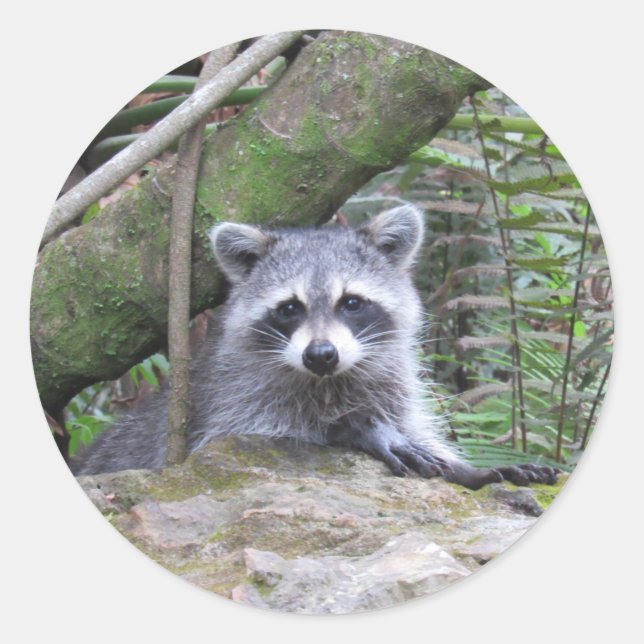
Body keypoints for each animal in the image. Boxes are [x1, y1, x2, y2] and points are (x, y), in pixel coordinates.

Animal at [71, 205, 557, 489]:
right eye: (290, 308)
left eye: (352, 303)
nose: (320, 354)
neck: (329, 380)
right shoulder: (228, 398)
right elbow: (248, 435)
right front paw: (356, 427)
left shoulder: (391, 385)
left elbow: (415, 429)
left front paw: (468, 469)